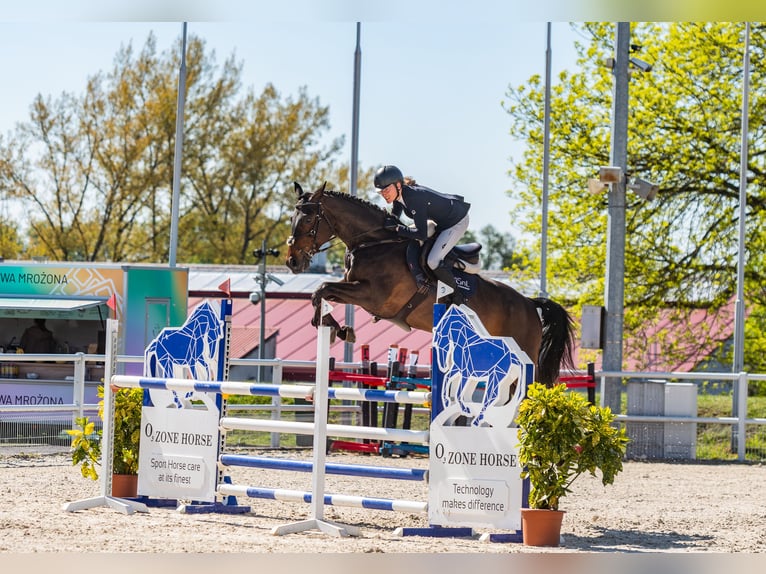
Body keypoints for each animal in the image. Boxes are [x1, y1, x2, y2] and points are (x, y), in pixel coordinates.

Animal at [285, 182, 575, 386]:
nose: (292, 261)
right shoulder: (353, 288)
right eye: (291, 219)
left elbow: (323, 289)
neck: (374, 242)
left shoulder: (372, 296)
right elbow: (320, 292)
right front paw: (334, 327)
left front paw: (340, 329)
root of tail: (529, 304)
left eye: (309, 219)